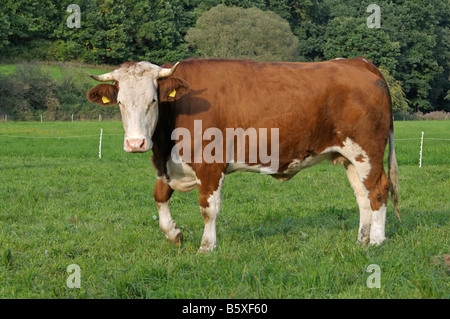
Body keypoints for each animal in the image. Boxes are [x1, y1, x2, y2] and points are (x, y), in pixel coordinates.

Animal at [88, 57, 400, 252]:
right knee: (362, 195)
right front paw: (174, 233)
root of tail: (359, 62)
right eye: (120, 103)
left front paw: (206, 247)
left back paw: (376, 241)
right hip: (349, 156)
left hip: (367, 151)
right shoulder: (170, 165)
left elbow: (208, 208)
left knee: (378, 190)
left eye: (153, 100)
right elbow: (159, 196)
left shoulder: (210, 164)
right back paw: (361, 240)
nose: (136, 143)